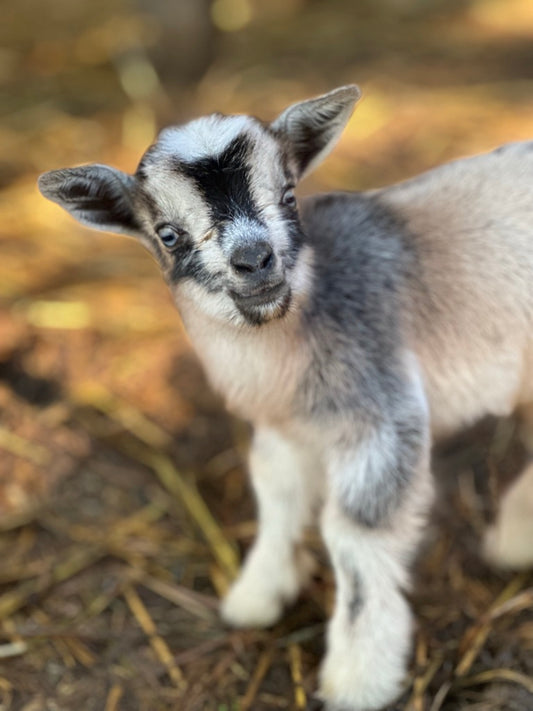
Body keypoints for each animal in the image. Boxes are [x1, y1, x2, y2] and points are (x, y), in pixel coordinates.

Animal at [38, 86, 533, 711]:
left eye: (290, 196)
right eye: (168, 234)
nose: (254, 261)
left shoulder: (379, 411)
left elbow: (355, 536)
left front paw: (358, 678)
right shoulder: (285, 427)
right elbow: (276, 498)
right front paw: (256, 595)